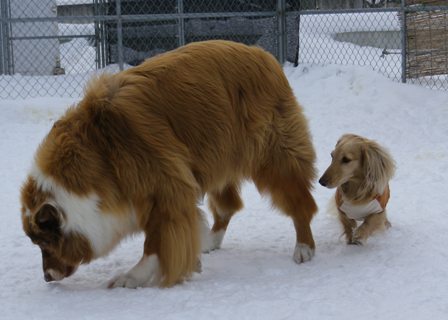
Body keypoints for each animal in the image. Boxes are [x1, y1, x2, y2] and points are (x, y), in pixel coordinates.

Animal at [21, 39, 318, 288]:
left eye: (44, 243)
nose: (47, 278)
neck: (101, 156)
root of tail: (263, 55)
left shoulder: (165, 189)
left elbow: (155, 244)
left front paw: (132, 278)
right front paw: (193, 258)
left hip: (274, 156)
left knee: (300, 203)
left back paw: (304, 247)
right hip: (216, 154)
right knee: (228, 206)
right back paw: (210, 241)